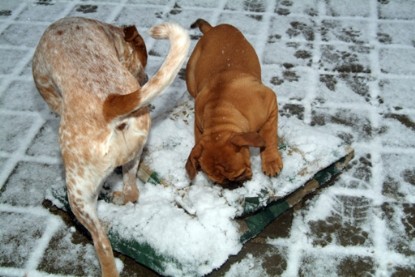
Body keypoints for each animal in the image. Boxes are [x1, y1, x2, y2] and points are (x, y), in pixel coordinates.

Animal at [32, 17, 190, 276]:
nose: (145, 78)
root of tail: (109, 103)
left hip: (78, 194)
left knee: (102, 243)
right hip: (134, 152)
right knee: (132, 191)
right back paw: (119, 197)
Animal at [187, 18, 284, 184]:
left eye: (239, 173)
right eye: (217, 181)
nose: (232, 185)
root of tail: (212, 29)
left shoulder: (270, 104)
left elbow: (269, 135)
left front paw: (271, 160)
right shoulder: (198, 123)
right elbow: (197, 139)